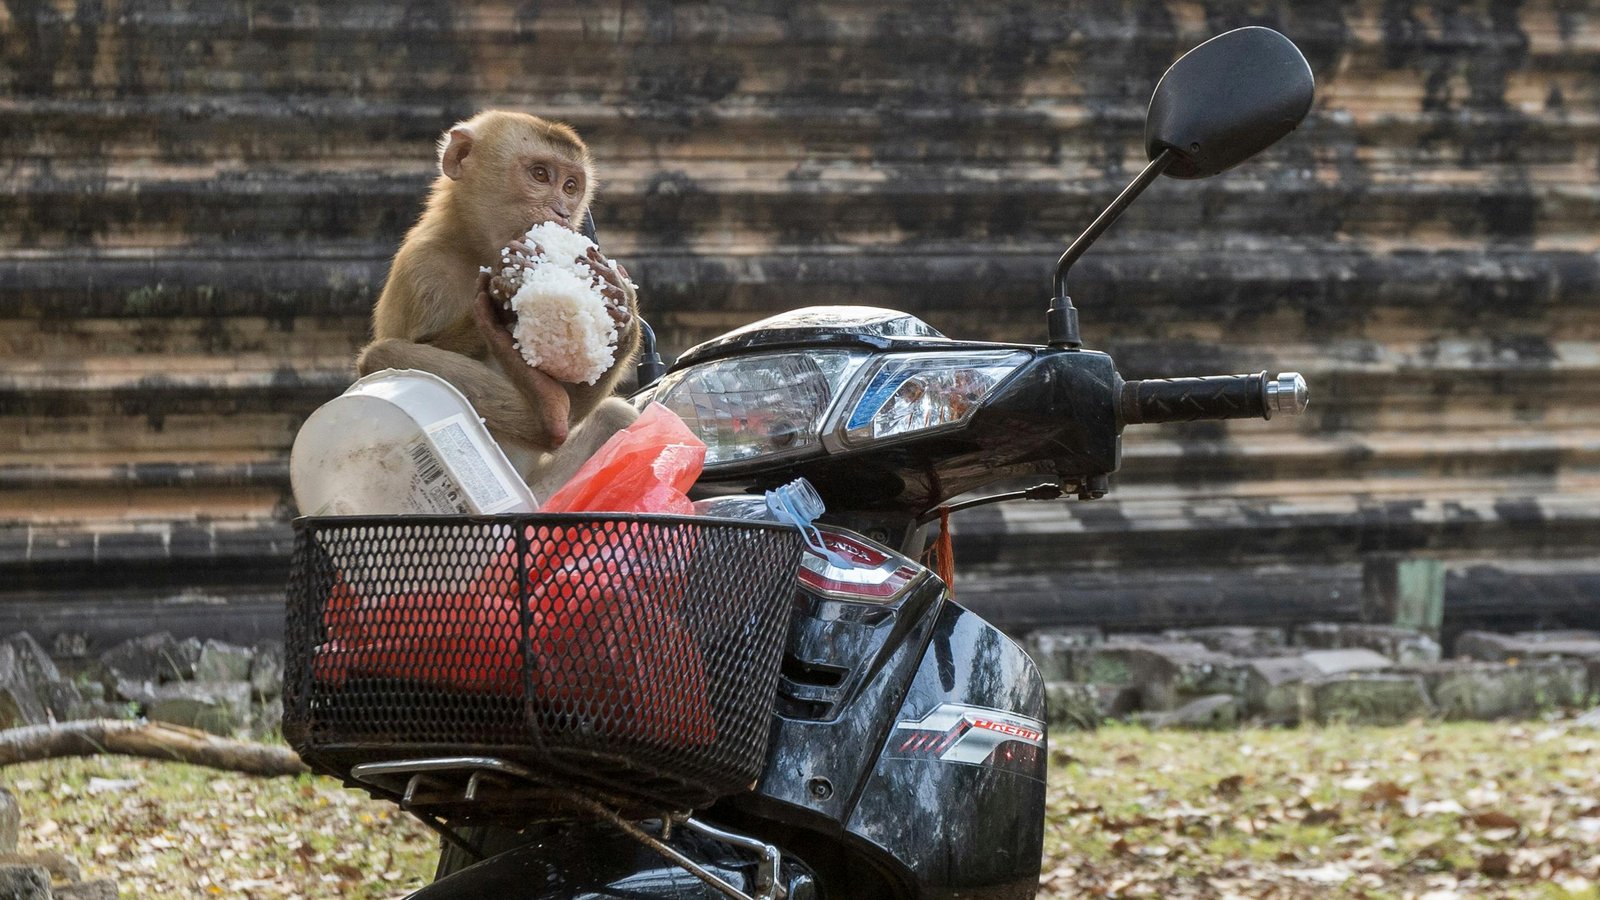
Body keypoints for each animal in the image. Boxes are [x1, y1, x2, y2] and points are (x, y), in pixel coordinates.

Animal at [356, 111, 641, 500]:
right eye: (540, 175)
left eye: (571, 187)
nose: (562, 213)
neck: (475, 249)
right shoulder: (424, 270)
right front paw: (503, 295)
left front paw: (620, 301)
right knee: (379, 357)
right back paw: (546, 411)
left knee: (614, 416)